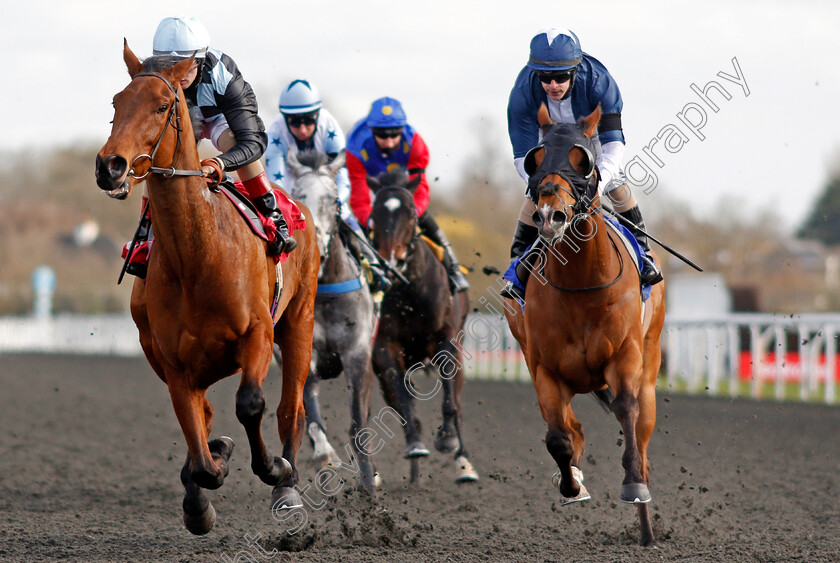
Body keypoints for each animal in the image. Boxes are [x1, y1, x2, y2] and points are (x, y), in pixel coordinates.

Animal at [93, 43, 320, 532]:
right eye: (116, 104)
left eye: (163, 105)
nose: (110, 166)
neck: (198, 258)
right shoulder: (174, 364)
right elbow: (198, 447)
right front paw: (204, 487)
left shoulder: (258, 334)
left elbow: (251, 404)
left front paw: (274, 469)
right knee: (209, 416)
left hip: (300, 322)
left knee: (290, 410)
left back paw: (287, 486)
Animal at [278, 150, 378, 490]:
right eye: (297, 195)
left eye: (333, 199)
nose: (316, 242)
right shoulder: (303, 353)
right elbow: (310, 416)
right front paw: (325, 455)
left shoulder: (358, 353)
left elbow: (358, 420)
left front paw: (369, 479)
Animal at [368, 172, 480, 484]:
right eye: (374, 214)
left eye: (411, 213)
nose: (389, 261)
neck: (410, 291)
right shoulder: (383, 347)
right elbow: (402, 398)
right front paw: (415, 444)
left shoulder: (446, 338)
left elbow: (449, 398)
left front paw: (448, 439)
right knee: (400, 399)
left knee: (457, 401)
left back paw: (463, 461)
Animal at [502, 106, 668, 548]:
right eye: (536, 159)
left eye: (583, 160)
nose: (549, 216)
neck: (580, 285)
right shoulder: (545, 369)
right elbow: (559, 438)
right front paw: (571, 485)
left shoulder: (624, 356)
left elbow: (626, 410)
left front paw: (633, 485)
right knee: (570, 429)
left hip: (650, 365)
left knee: (642, 432)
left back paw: (646, 524)